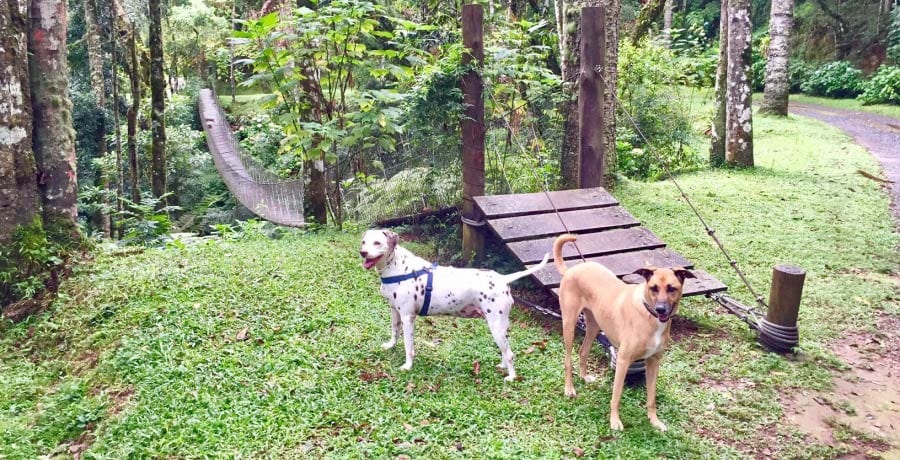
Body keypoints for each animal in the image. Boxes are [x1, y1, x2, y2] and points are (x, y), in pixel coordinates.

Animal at [358, 229, 548, 380]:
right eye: (364, 242)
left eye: (377, 243)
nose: (363, 252)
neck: (399, 268)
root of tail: (502, 278)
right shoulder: (395, 311)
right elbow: (394, 332)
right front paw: (391, 345)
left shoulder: (407, 317)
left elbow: (408, 346)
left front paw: (408, 366)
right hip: (501, 328)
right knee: (505, 351)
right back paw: (503, 367)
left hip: (496, 326)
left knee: (509, 354)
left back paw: (511, 377)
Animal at [552, 234, 692, 432]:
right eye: (654, 288)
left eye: (672, 288)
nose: (661, 309)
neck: (649, 315)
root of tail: (572, 269)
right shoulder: (623, 361)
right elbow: (616, 396)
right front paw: (615, 421)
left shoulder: (654, 362)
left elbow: (651, 398)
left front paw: (654, 421)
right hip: (569, 324)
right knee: (567, 359)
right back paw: (569, 388)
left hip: (594, 325)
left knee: (583, 351)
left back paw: (584, 377)